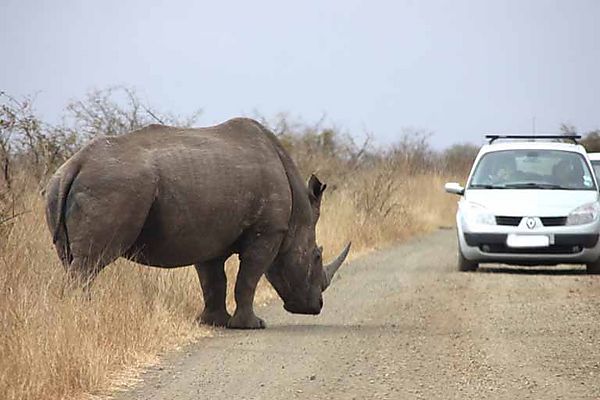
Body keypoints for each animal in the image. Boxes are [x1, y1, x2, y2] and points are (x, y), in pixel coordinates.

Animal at [45, 118, 352, 328]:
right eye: (316, 256)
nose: (316, 306)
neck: (299, 214)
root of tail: (76, 164)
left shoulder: (206, 232)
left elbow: (213, 279)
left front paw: (214, 322)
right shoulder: (268, 231)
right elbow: (248, 277)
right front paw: (253, 325)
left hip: (59, 187)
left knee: (70, 260)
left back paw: (77, 315)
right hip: (111, 185)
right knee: (89, 264)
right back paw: (83, 318)